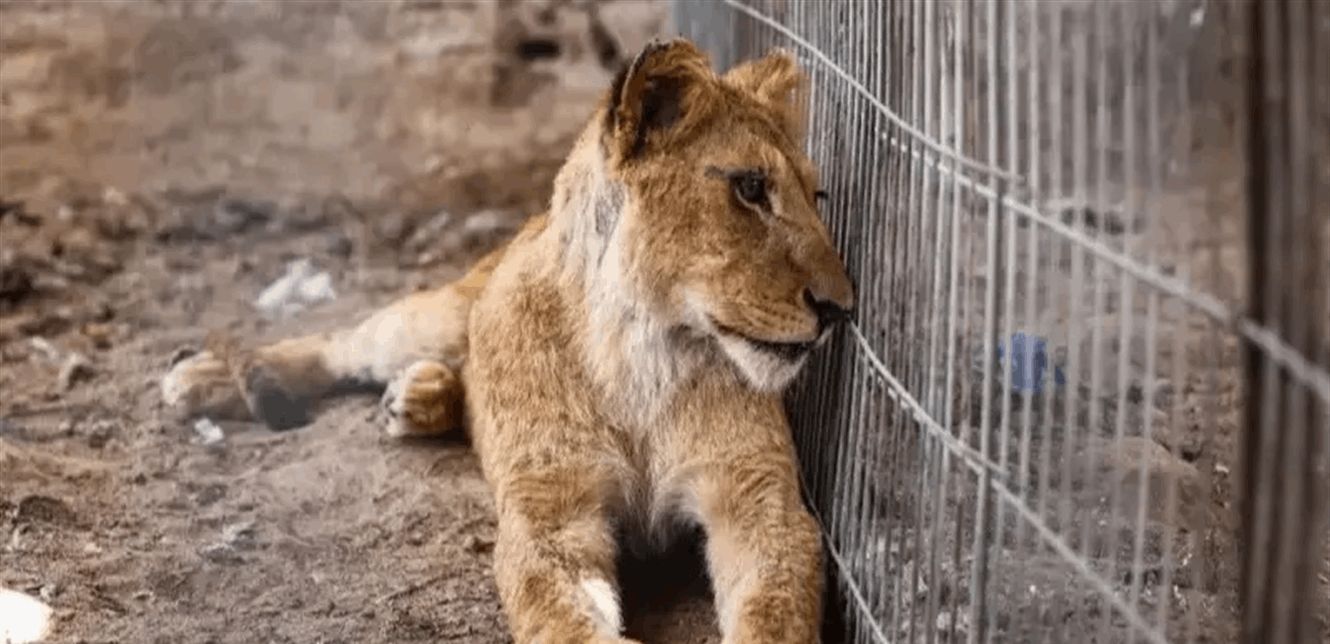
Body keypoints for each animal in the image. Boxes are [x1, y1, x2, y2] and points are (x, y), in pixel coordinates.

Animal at [161, 38, 854, 644]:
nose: (840, 309)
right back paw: (202, 379)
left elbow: (774, 612)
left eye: (817, 194)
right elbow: (561, 617)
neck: (640, 356)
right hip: (428, 318)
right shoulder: (549, 512)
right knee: (344, 341)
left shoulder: (760, 501)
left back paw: (418, 395)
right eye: (750, 188)